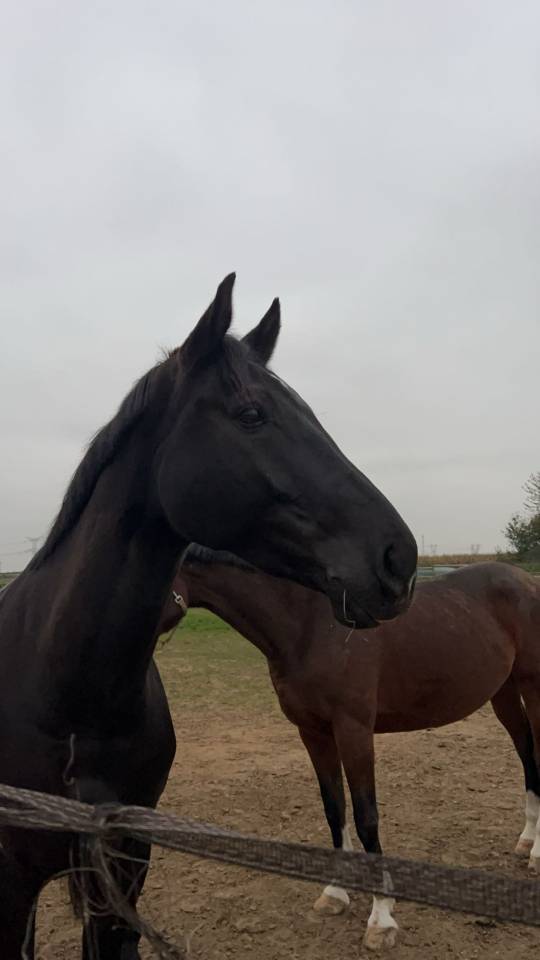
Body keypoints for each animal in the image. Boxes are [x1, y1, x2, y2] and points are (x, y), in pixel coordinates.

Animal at [163, 552, 540, 951]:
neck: (309, 624)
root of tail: (527, 581)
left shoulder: (354, 731)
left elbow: (365, 816)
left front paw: (381, 916)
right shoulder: (313, 733)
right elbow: (334, 809)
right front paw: (336, 892)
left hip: (532, 688)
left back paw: (537, 854)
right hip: (503, 693)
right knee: (527, 756)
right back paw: (527, 838)